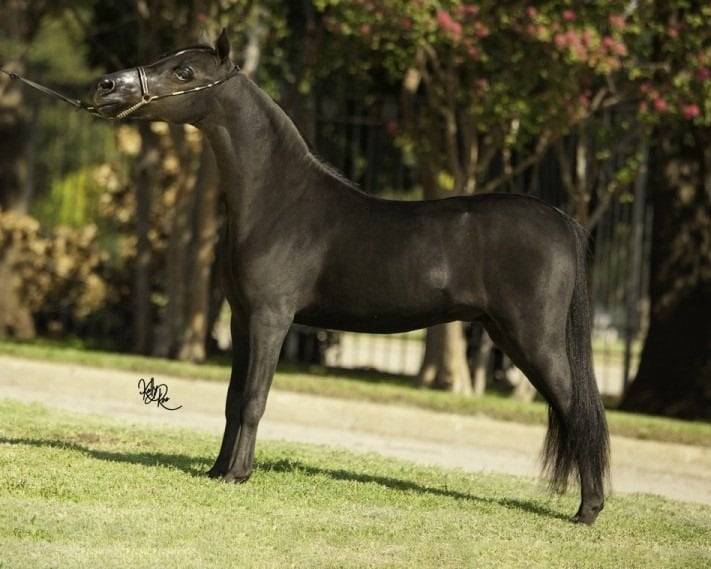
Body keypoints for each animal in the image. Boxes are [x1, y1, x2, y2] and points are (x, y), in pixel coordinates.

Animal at [88, 29, 609, 524]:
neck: (278, 201)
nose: (106, 86)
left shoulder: (271, 319)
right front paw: (218, 470)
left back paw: (588, 510)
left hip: (533, 338)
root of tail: (561, 220)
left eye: (184, 71)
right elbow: (233, 399)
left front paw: (239, 474)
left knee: (579, 410)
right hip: (506, 332)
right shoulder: (240, 319)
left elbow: (254, 399)